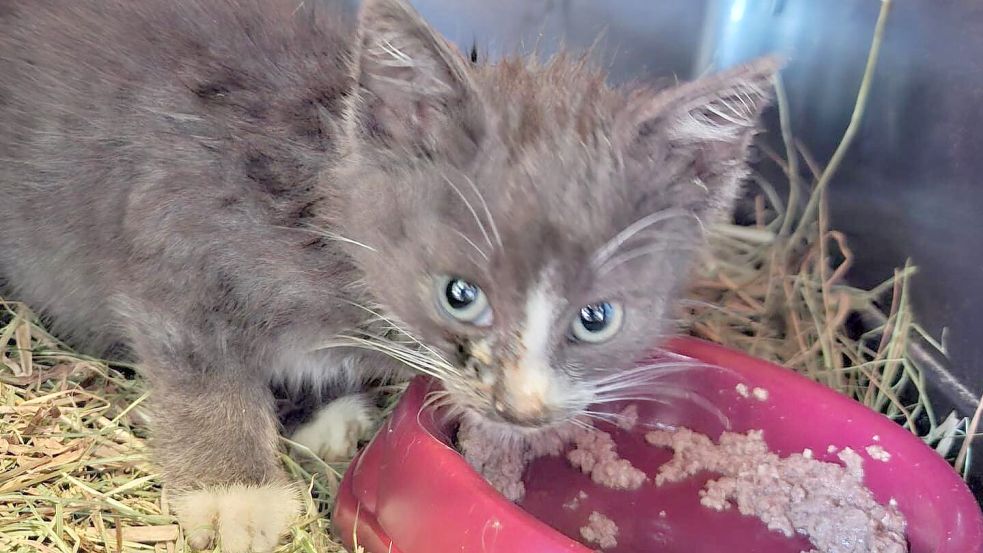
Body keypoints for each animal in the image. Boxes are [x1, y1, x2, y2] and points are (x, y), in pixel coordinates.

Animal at [0, 0, 776, 548]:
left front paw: (322, 410)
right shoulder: (175, 240)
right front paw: (236, 496)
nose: (520, 409)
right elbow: (203, 375)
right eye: (459, 295)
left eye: (597, 317)